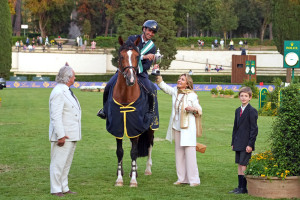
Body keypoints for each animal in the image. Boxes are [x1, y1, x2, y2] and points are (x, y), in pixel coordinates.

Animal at [104, 36, 158, 188]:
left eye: (137, 56)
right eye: (121, 56)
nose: (131, 79)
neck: (125, 96)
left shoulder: (136, 127)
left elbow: (134, 152)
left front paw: (133, 180)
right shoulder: (118, 127)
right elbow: (120, 152)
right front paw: (119, 177)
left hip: (151, 127)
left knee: (150, 145)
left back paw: (147, 170)